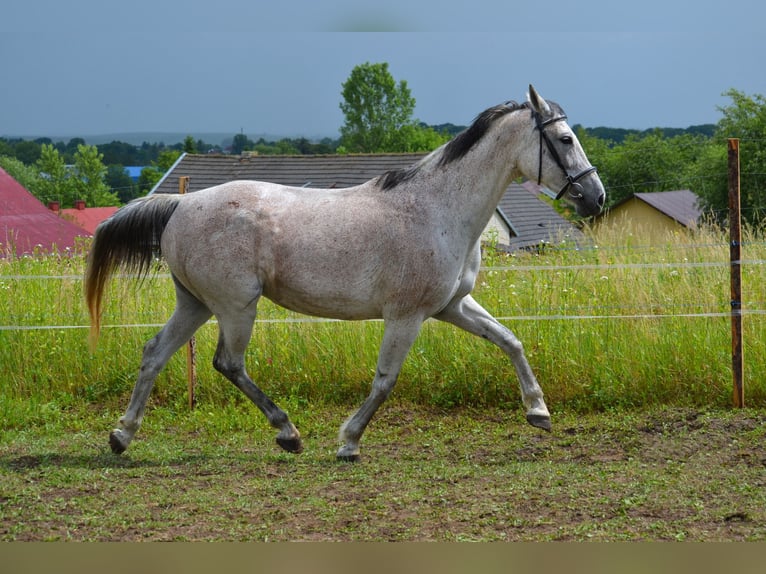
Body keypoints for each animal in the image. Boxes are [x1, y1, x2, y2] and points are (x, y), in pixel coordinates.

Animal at [84, 86, 608, 464]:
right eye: (565, 140)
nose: (596, 197)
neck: (438, 209)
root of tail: (181, 204)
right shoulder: (406, 316)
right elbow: (385, 380)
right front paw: (348, 442)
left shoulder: (451, 306)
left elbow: (510, 341)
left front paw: (538, 412)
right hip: (235, 306)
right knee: (228, 363)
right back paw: (288, 434)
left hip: (195, 303)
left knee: (155, 352)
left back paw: (121, 436)